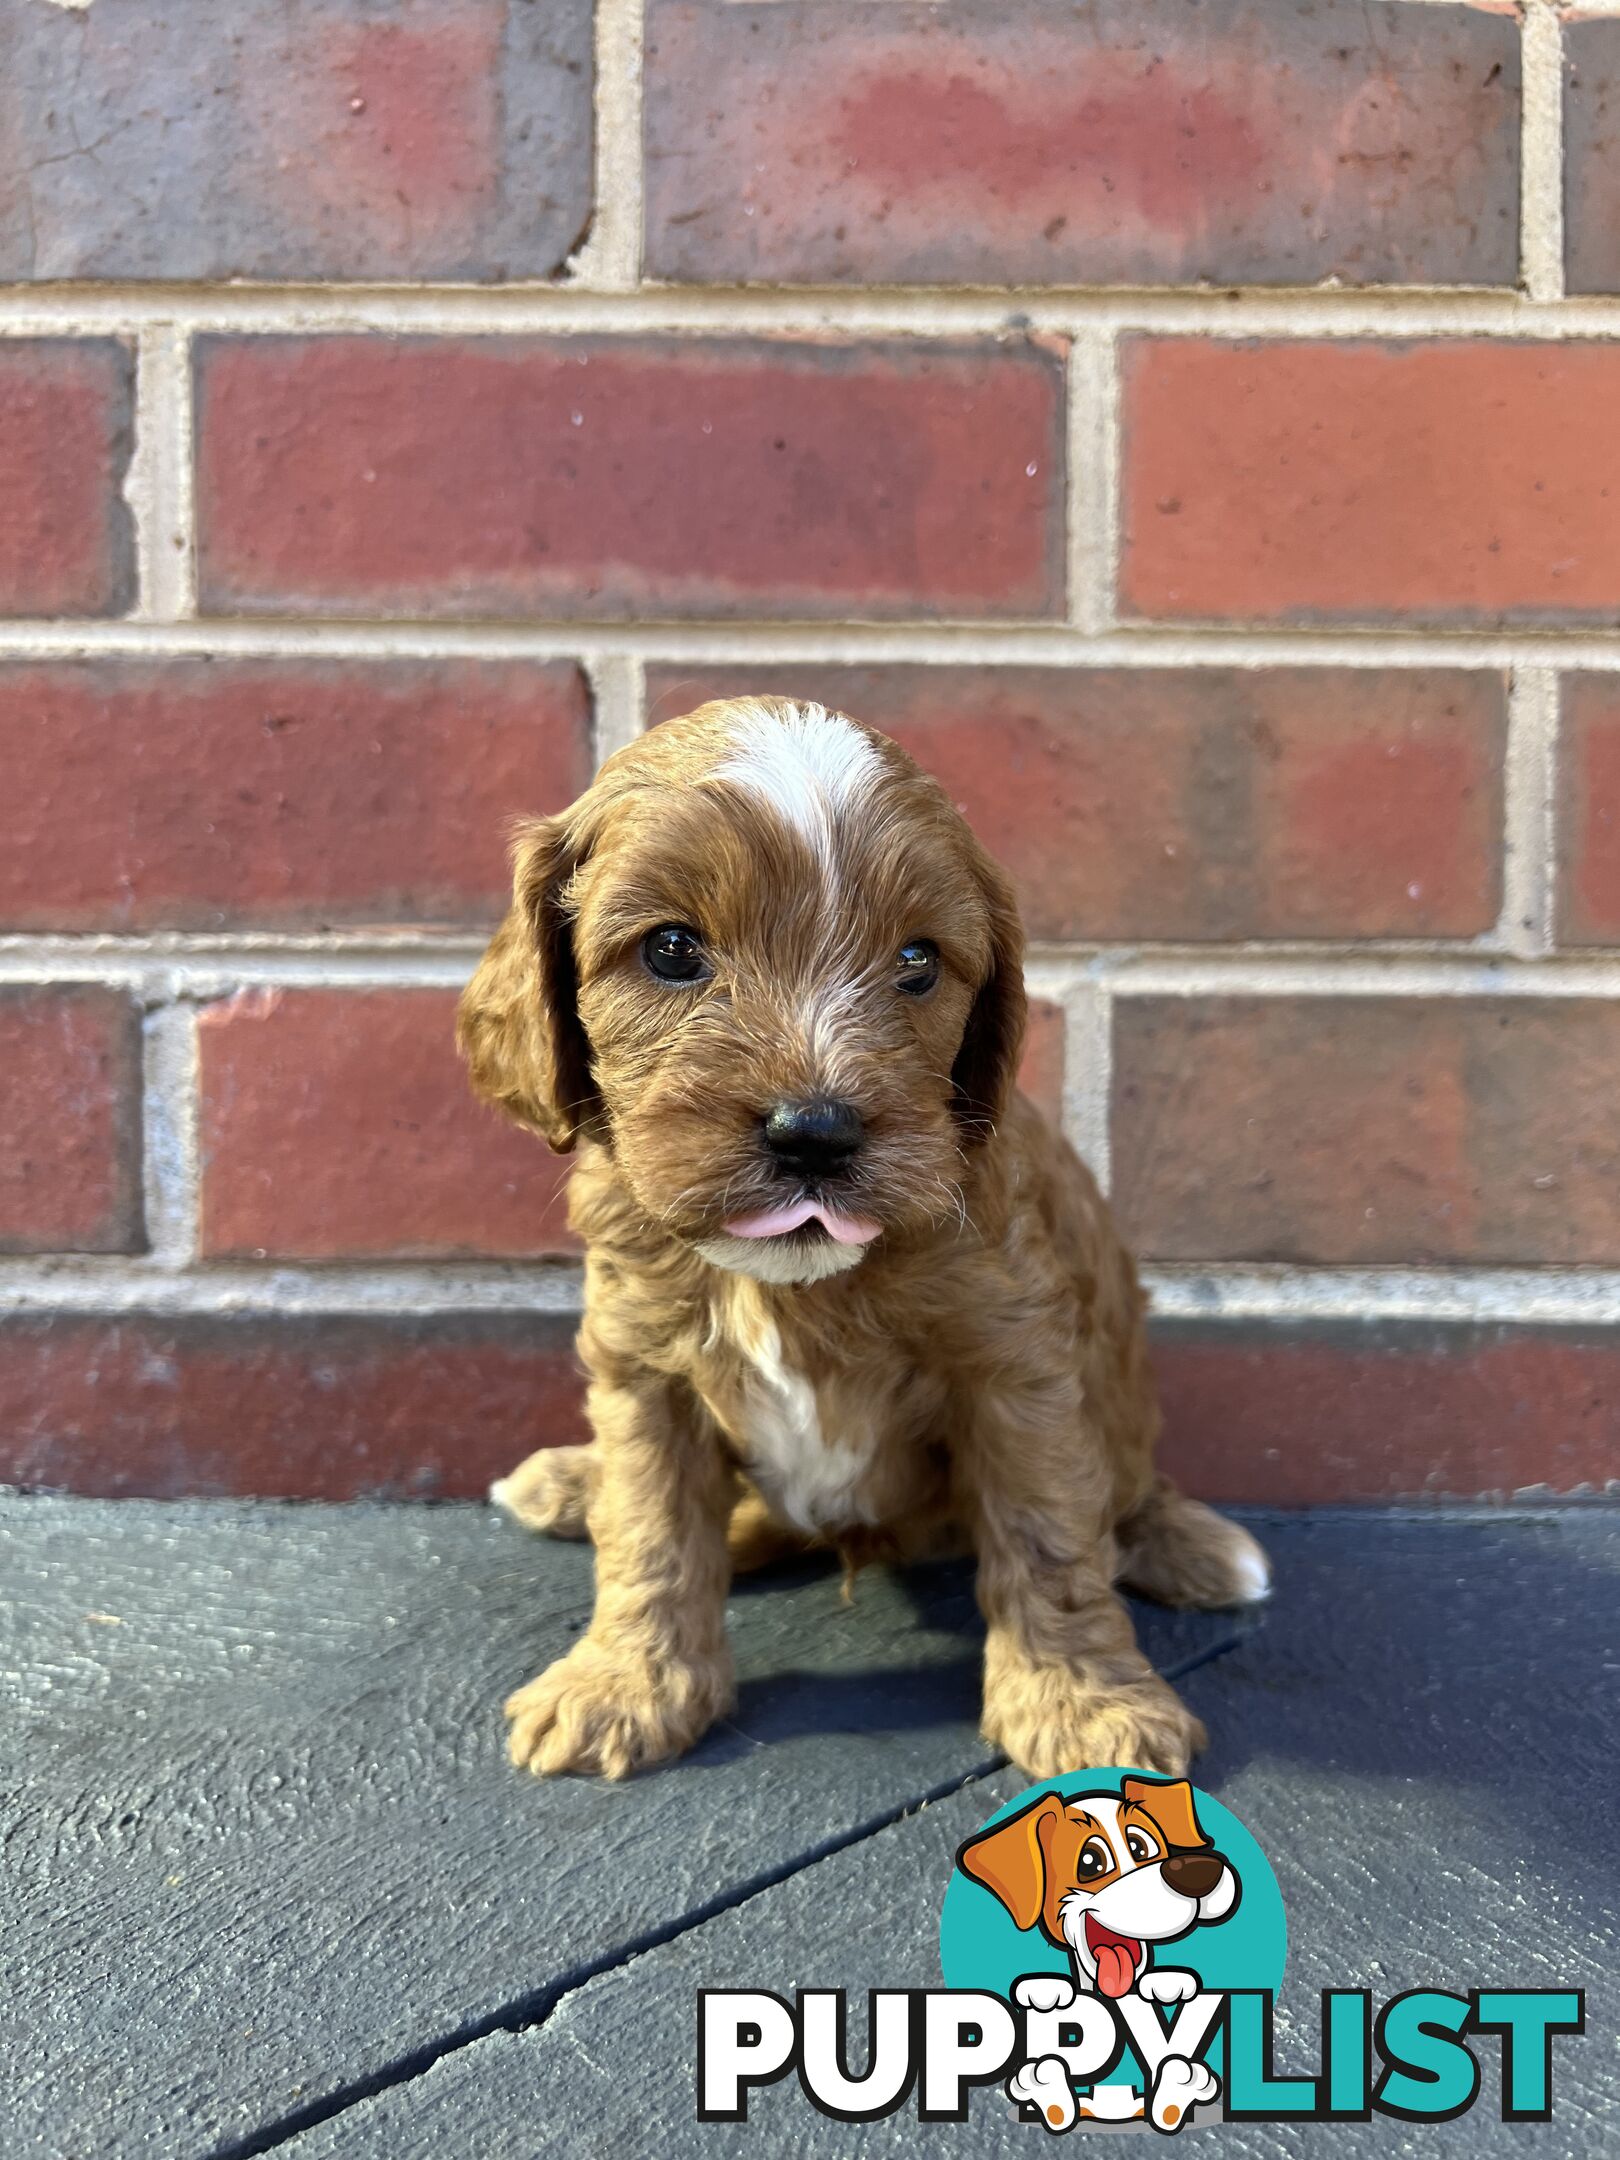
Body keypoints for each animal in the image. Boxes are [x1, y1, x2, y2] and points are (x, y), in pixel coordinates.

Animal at [457, 699, 1270, 1779]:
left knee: (1116, 1505)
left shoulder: (1015, 1365)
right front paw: (625, 1688)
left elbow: (1048, 1533)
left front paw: (1086, 1704)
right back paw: (571, 1484)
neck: (793, 1282)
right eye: (671, 950)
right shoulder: (642, 1367)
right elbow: (652, 1527)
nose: (815, 1131)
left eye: (917, 963)